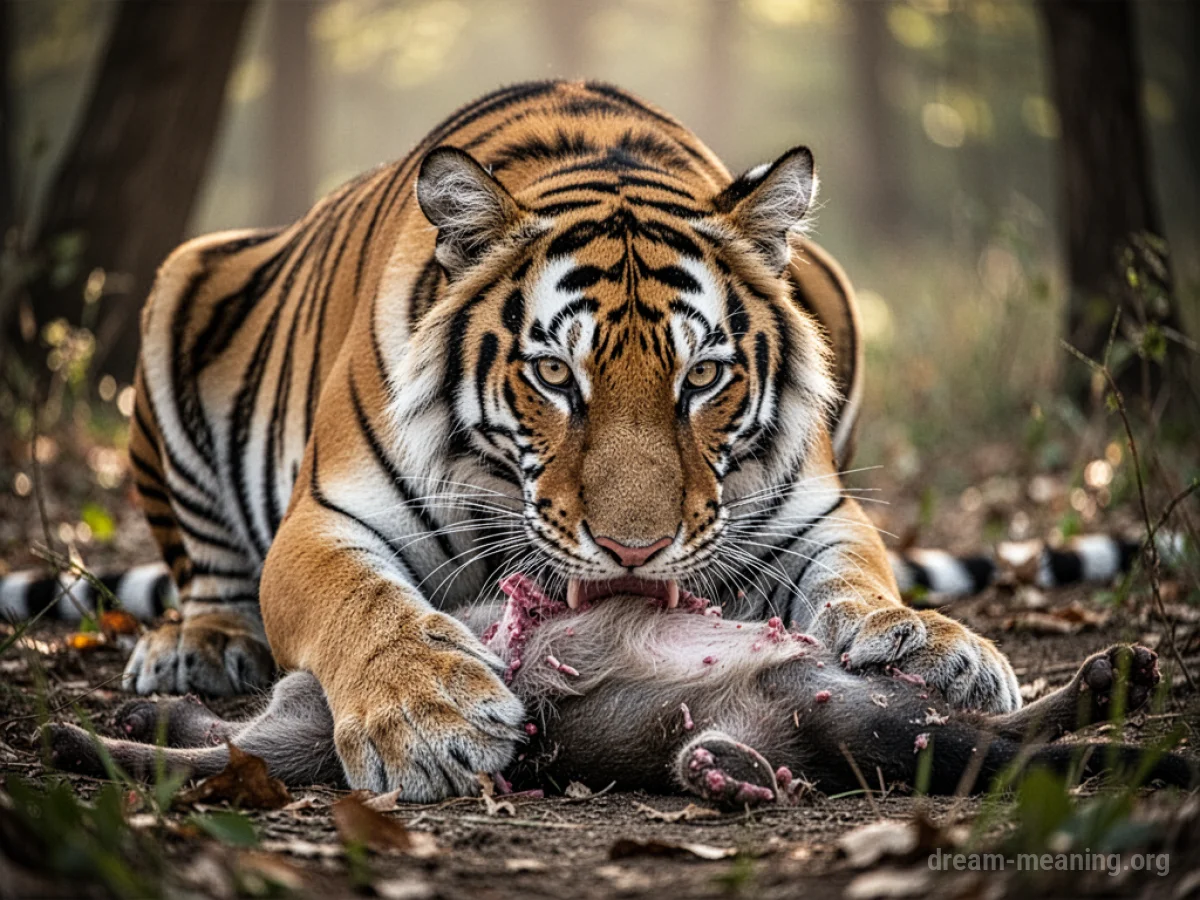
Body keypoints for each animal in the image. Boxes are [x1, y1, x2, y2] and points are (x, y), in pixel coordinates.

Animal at [112, 80, 1026, 800]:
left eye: (702, 377)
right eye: (554, 374)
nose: (635, 552)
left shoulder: (814, 510)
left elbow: (859, 576)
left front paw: (933, 645)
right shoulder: (326, 517)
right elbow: (363, 603)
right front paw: (428, 716)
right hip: (181, 285)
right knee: (206, 566)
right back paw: (200, 644)